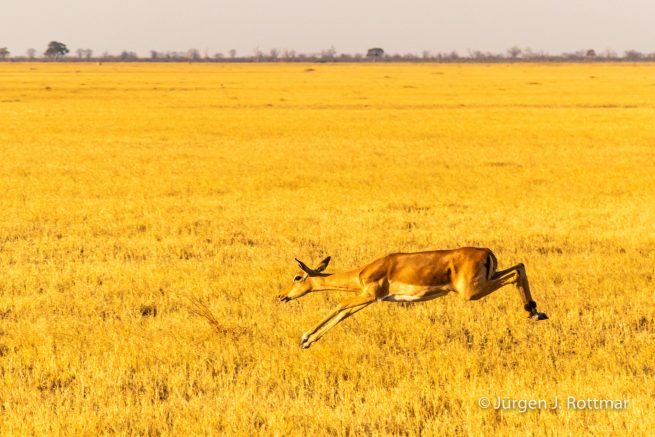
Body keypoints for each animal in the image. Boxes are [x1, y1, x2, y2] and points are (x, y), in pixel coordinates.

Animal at [278, 247, 548, 349]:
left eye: (297, 277)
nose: (282, 296)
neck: (362, 272)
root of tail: (487, 252)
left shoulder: (369, 295)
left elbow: (339, 306)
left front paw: (305, 338)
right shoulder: (366, 299)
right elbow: (344, 313)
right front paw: (308, 340)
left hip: (472, 292)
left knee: (515, 273)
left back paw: (533, 311)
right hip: (488, 280)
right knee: (520, 267)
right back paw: (536, 312)